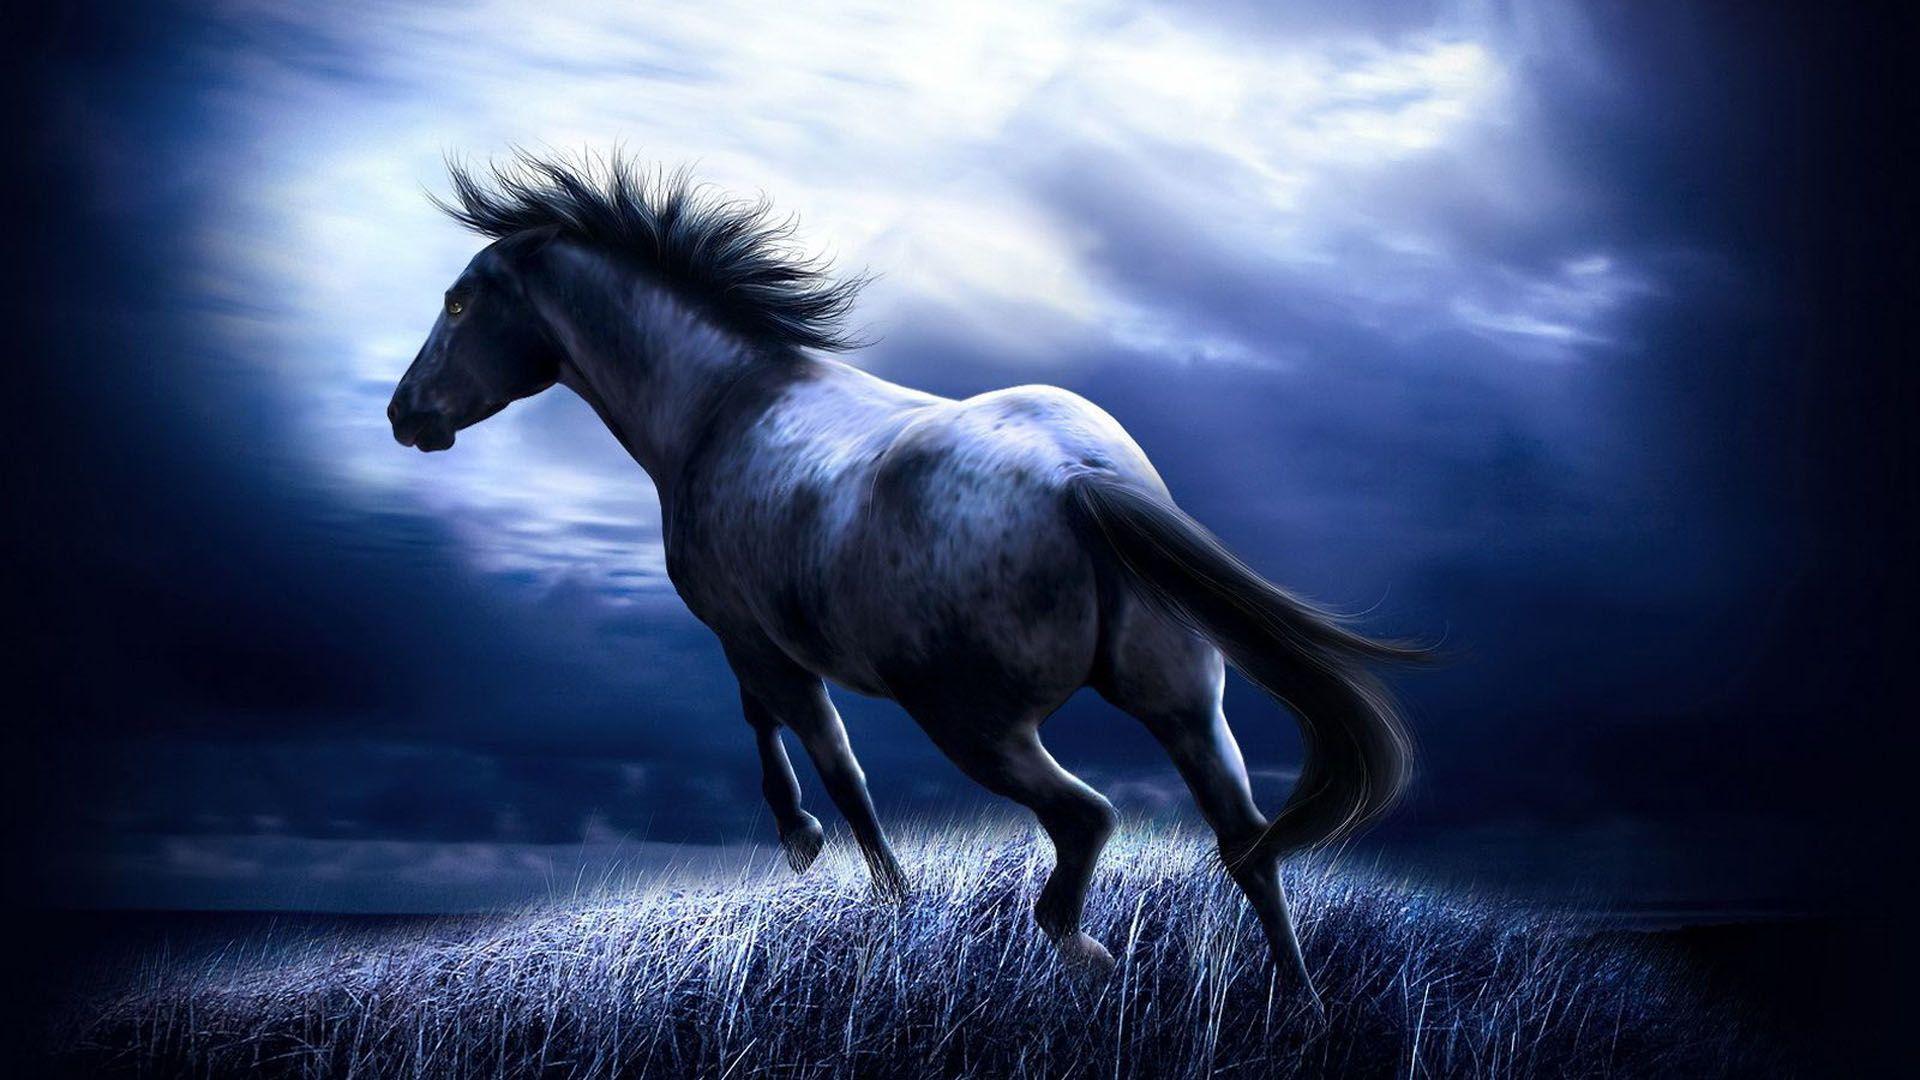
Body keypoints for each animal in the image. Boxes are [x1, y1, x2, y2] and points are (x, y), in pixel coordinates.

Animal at [387, 153, 1426, 997]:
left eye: (459, 303)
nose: (404, 415)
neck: (722, 403)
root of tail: (1084, 481)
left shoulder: (756, 641)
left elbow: (826, 758)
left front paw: (851, 871)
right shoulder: (760, 644)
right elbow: (784, 732)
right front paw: (824, 856)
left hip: (974, 723)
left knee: (1087, 820)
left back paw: (1085, 952)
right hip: (1185, 706)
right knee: (1247, 846)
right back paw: (1300, 1003)